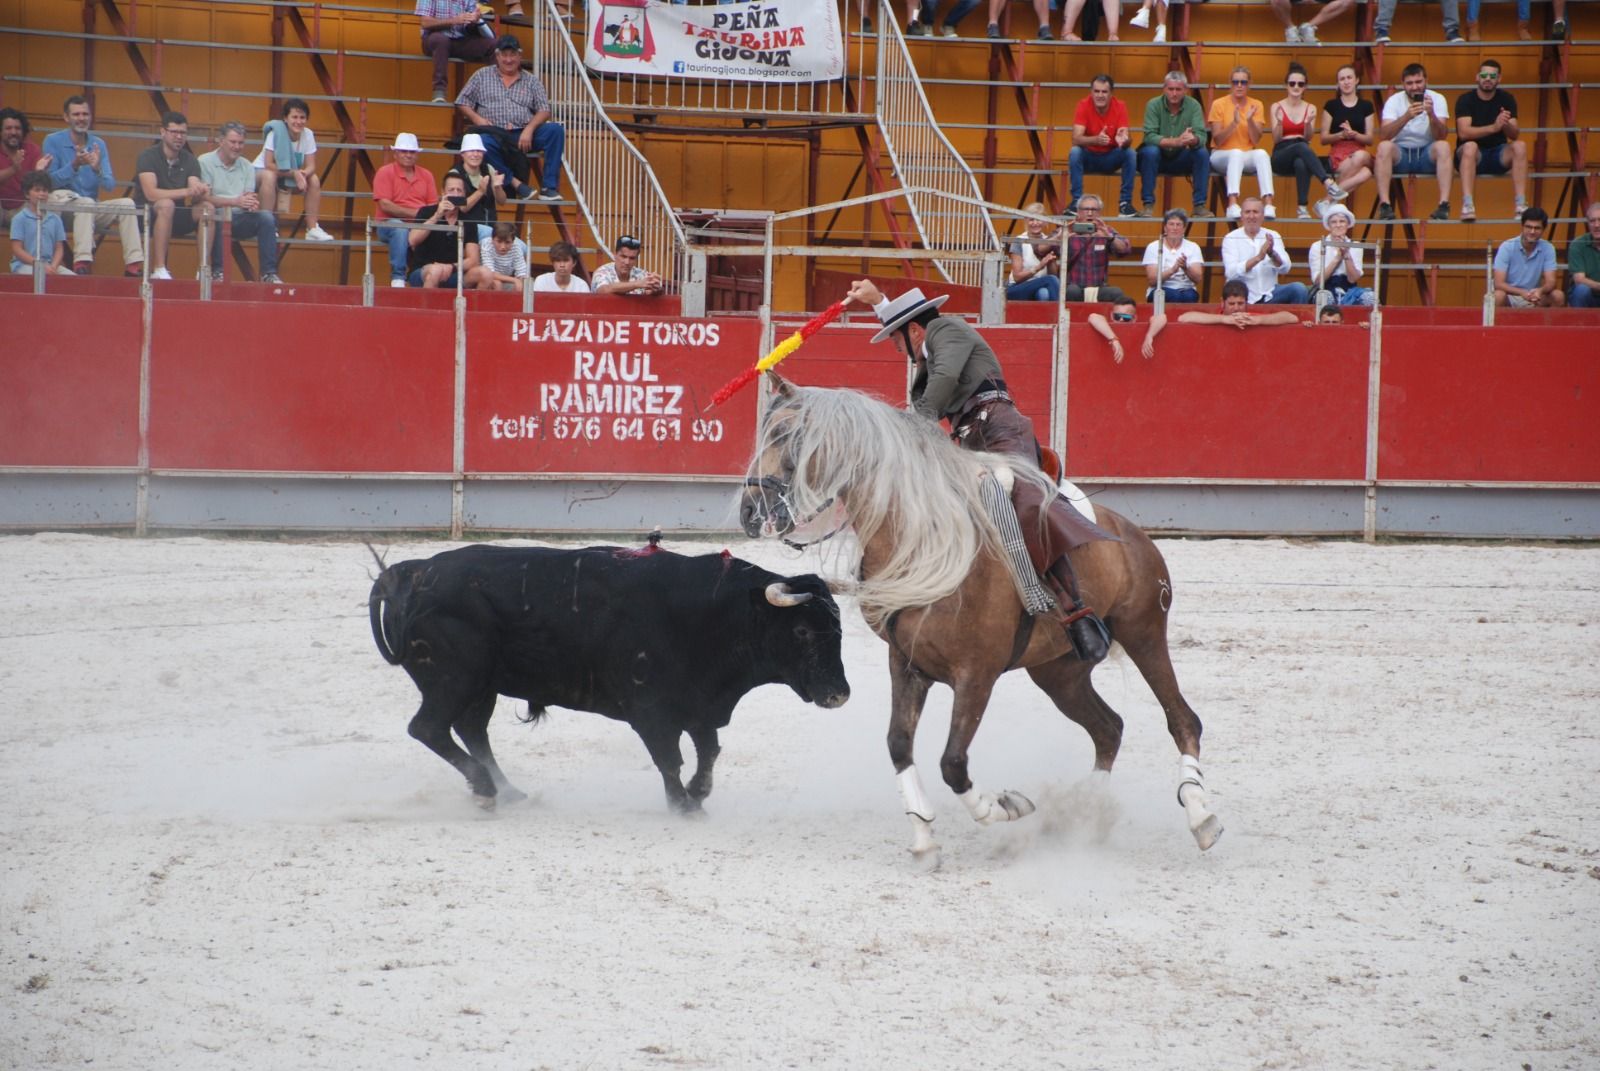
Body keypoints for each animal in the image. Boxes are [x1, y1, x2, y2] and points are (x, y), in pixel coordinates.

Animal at [371, 544, 851, 810]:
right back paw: (488, 788)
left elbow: (709, 751)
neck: (712, 614)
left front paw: (697, 794)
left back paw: (506, 791)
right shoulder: (652, 711)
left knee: (471, 730)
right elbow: (670, 758)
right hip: (453, 680)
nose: (840, 694)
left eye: (838, 628)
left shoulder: (699, 705)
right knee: (429, 728)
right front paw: (682, 804)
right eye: (802, 630)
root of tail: (411, 572)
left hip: (480, 686)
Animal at [739, 376, 1222, 858]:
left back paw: (1200, 816)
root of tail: (1133, 535)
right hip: (1059, 673)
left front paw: (1004, 807)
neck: (925, 541)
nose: (750, 511)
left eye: (784, 434)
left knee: (1182, 720)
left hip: (1144, 634)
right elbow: (899, 745)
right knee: (1109, 729)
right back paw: (1086, 813)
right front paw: (923, 837)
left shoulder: (977, 675)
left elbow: (953, 762)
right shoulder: (906, 665)